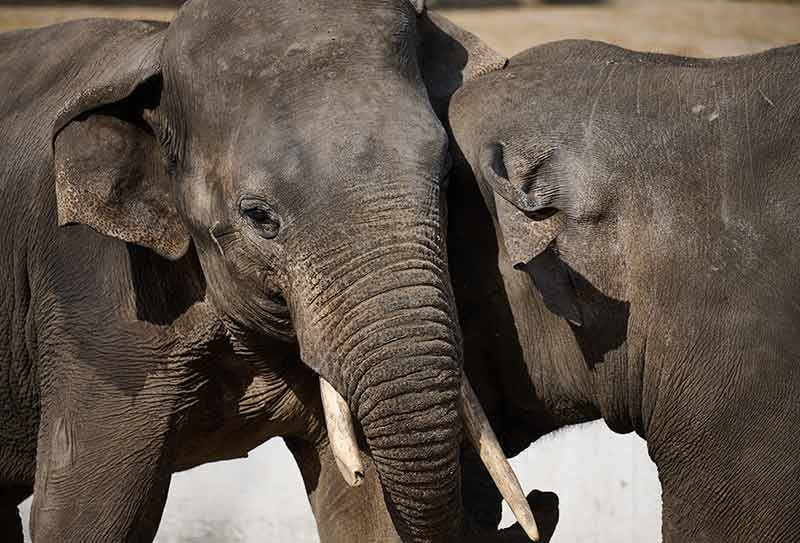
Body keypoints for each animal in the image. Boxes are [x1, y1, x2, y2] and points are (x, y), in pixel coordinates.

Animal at [0, 2, 544, 540]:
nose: (543, 497)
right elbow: (82, 516)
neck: (155, 55)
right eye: (260, 217)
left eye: (449, 176)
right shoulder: (96, 306)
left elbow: (364, 512)